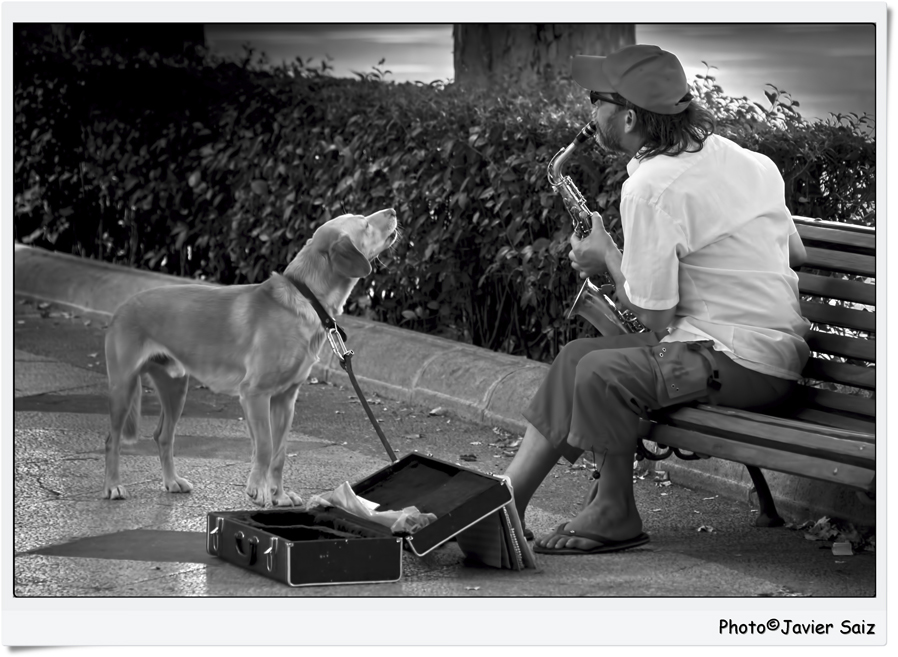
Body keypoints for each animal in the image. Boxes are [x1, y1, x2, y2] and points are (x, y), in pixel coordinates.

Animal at [101, 208, 400, 504]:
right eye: (364, 224)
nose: (394, 210)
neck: (305, 296)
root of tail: (123, 307)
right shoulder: (254, 394)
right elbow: (265, 447)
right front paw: (258, 489)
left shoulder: (285, 399)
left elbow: (279, 453)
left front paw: (278, 495)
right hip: (123, 387)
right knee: (111, 439)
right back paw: (113, 486)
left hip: (175, 387)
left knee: (163, 436)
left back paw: (171, 481)